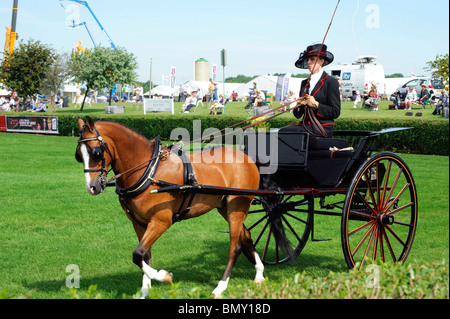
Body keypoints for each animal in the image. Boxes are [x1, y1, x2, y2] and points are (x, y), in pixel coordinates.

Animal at [75, 117, 262, 300]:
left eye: (96, 153)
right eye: (79, 155)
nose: (91, 187)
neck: (149, 170)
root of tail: (246, 158)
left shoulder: (161, 221)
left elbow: (137, 254)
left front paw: (164, 276)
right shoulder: (139, 223)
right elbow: (144, 255)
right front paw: (145, 291)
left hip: (237, 207)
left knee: (234, 247)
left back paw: (221, 286)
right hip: (227, 208)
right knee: (246, 235)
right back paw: (259, 273)